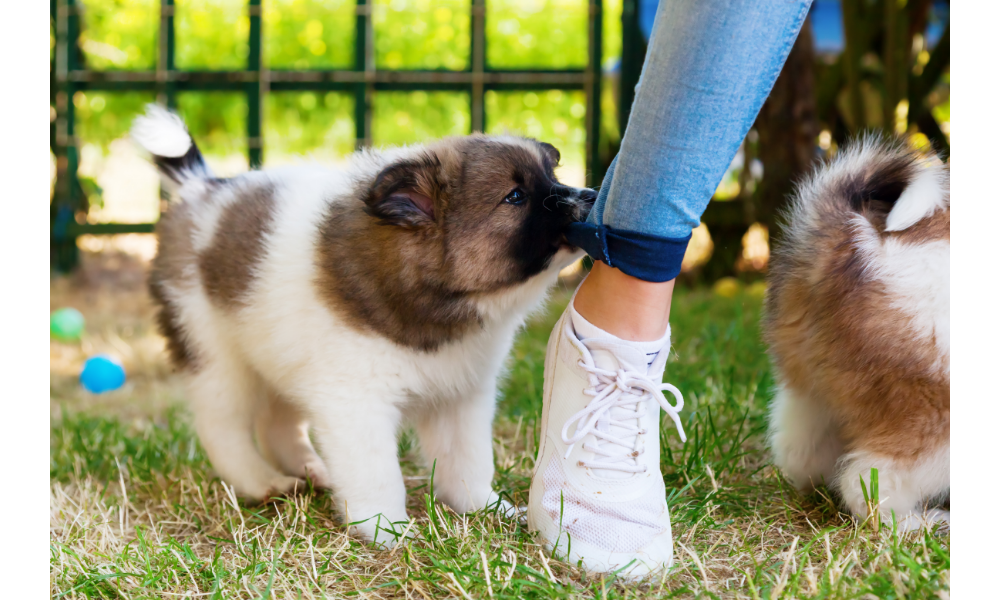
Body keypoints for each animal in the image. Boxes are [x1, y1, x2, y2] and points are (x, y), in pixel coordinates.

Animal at [128, 104, 588, 544]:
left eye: (552, 175)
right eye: (516, 196)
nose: (587, 195)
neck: (435, 301)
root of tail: (200, 188)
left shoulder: (460, 396)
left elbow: (468, 462)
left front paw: (483, 508)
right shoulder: (356, 401)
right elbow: (376, 472)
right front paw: (387, 529)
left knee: (276, 424)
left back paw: (311, 470)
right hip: (216, 356)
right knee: (222, 427)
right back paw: (262, 482)